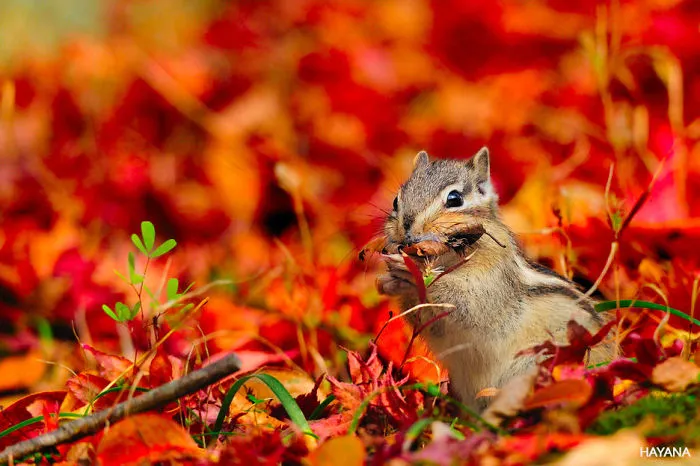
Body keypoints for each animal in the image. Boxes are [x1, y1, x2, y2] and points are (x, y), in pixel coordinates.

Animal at [376, 147, 613, 410]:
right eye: (396, 200)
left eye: (454, 199)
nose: (406, 231)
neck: (448, 260)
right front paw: (390, 280)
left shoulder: (491, 284)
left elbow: (465, 303)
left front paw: (415, 272)